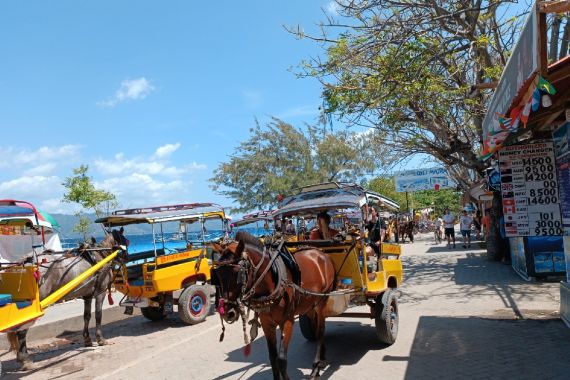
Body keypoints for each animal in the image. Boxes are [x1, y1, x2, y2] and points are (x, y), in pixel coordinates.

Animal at [211, 232, 336, 380]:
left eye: (238, 273)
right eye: (218, 274)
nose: (227, 312)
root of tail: (321, 253)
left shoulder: (287, 321)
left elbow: (281, 359)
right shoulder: (267, 323)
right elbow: (272, 358)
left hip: (322, 301)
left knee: (321, 330)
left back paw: (316, 366)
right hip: (309, 304)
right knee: (316, 328)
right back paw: (322, 358)